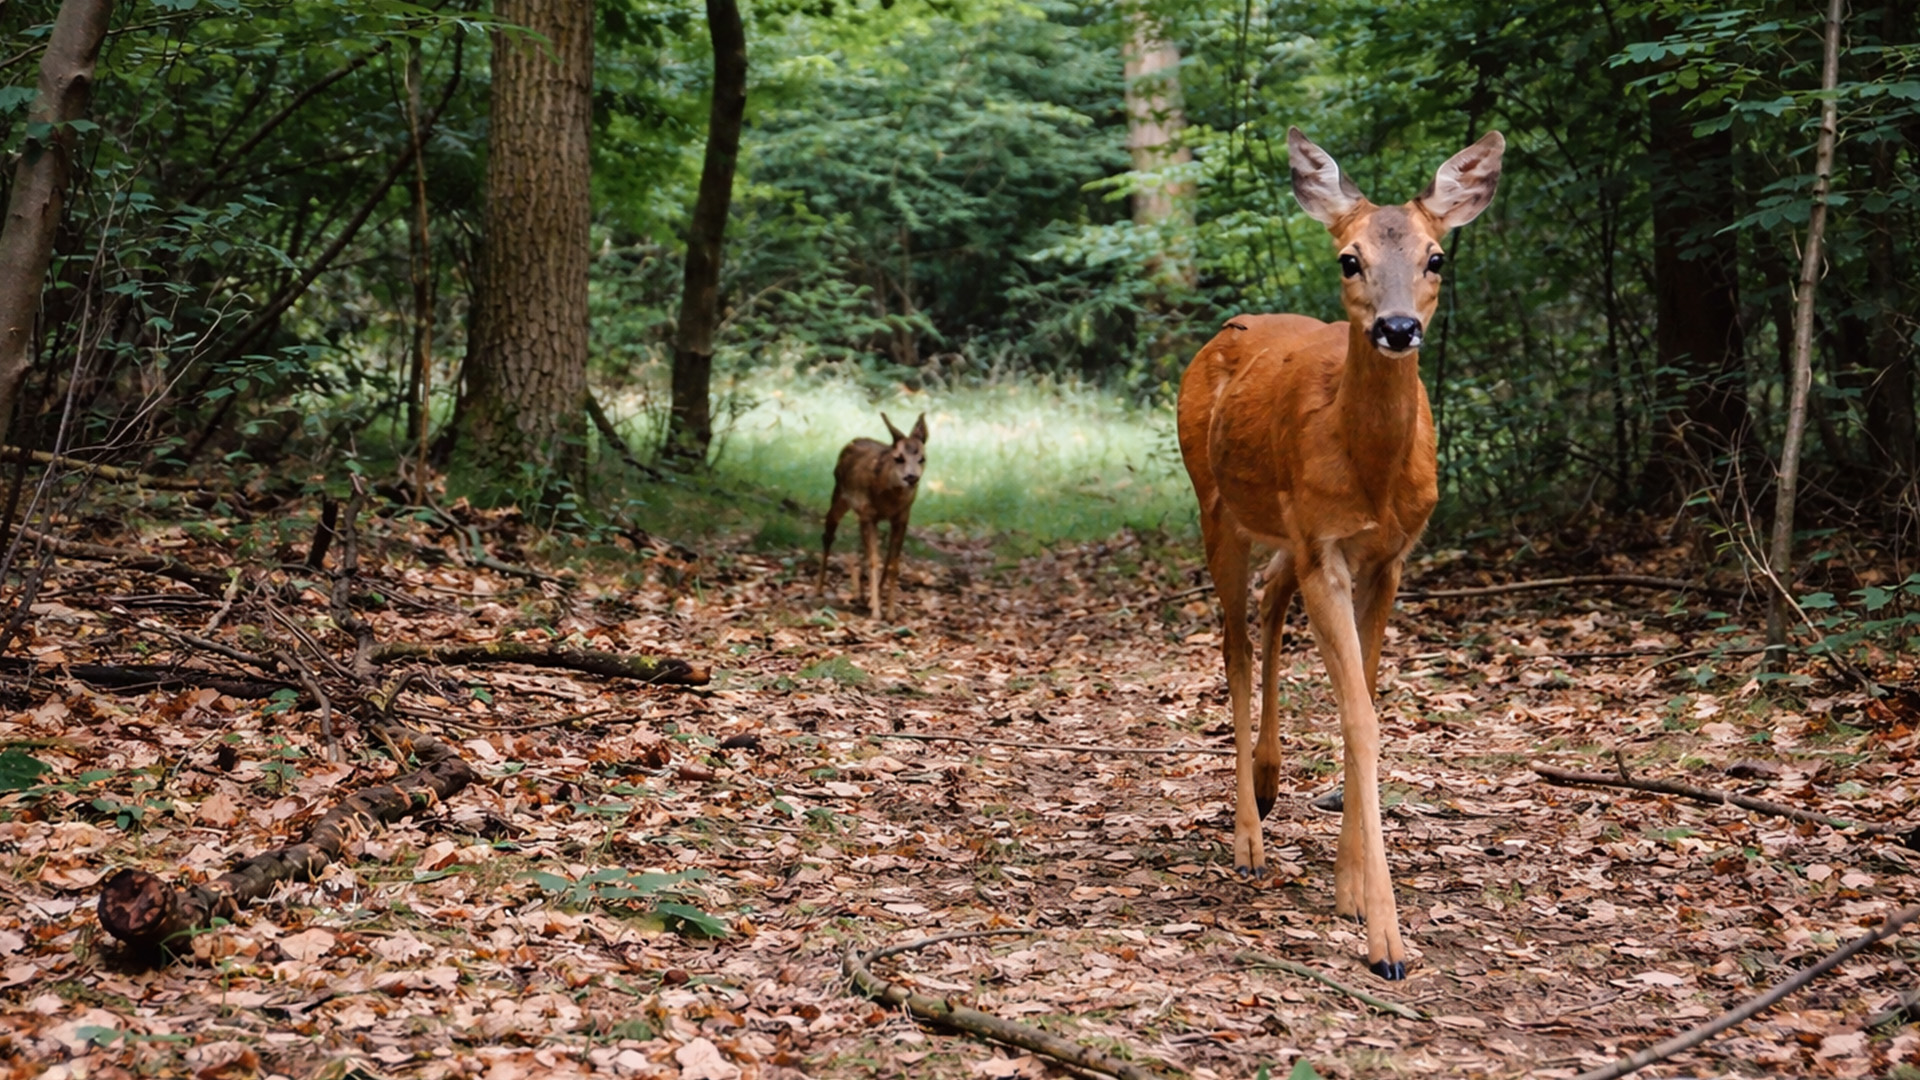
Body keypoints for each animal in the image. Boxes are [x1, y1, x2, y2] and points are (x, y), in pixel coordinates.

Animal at [818, 412, 928, 619]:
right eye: (898, 458)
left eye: (922, 458)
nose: (911, 477)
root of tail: (854, 441)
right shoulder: (868, 514)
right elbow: (874, 560)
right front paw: (877, 612)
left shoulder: (901, 518)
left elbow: (892, 564)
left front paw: (890, 612)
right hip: (840, 496)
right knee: (828, 532)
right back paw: (819, 589)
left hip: (861, 515)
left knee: (861, 547)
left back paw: (862, 595)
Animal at [1175, 128, 1504, 980]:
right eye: (1349, 259)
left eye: (1436, 256)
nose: (1397, 328)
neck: (1371, 474)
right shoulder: (1325, 545)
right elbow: (1359, 715)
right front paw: (1385, 938)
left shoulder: (1387, 557)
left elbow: (1370, 693)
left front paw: (1351, 890)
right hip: (1216, 505)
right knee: (1232, 643)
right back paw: (1248, 837)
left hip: (1283, 531)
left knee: (1268, 596)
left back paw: (1270, 780)